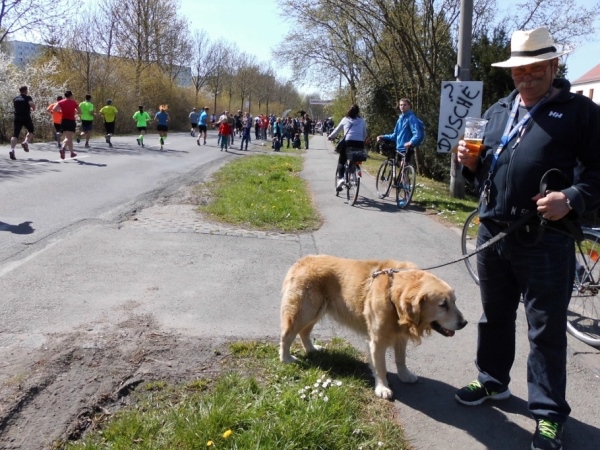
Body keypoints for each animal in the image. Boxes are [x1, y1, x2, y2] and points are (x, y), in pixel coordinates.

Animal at [279, 255, 467, 399]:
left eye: (455, 302)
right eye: (443, 305)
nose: (464, 323)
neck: (392, 296)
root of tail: (302, 261)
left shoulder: (400, 336)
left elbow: (401, 359)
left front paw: (405, 375)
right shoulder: (377, 341)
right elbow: (381, 366)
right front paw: (383, 388)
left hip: (315, 312)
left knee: (304, 332)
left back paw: (311, 349)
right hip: (304, 312)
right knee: (287, 335)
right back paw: (286, 358)